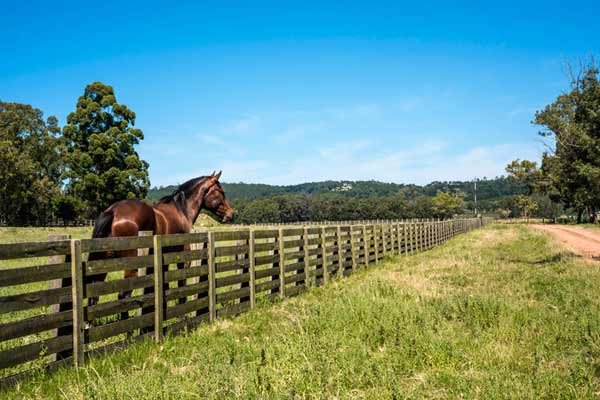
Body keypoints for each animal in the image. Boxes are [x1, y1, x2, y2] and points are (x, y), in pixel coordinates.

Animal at [88, 170, 233, 314]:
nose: (231, 214)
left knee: (93, 297)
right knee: (124, 295)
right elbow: (181, 283)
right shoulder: (184, 257)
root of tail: (113, 211)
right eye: (221, 191)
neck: (182, 210)